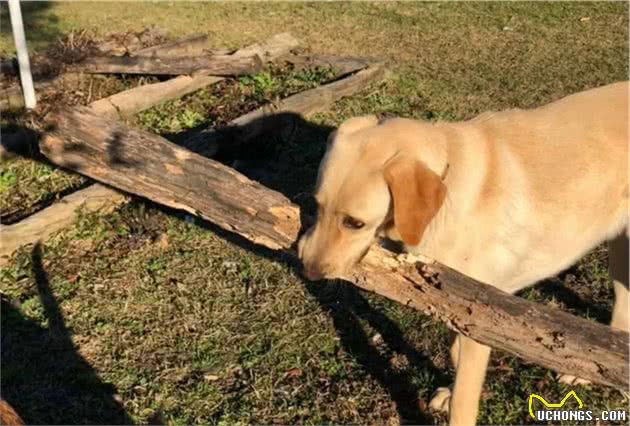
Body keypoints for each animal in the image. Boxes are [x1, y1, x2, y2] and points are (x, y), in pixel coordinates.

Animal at [298, 80, 628, 426]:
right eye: (317, 206)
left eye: (354, 223)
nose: (307, 269)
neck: (448, 179)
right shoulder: (454, 300)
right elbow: (454, 352)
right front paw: (447, 390)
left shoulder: (479, 317)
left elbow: (464, 401)